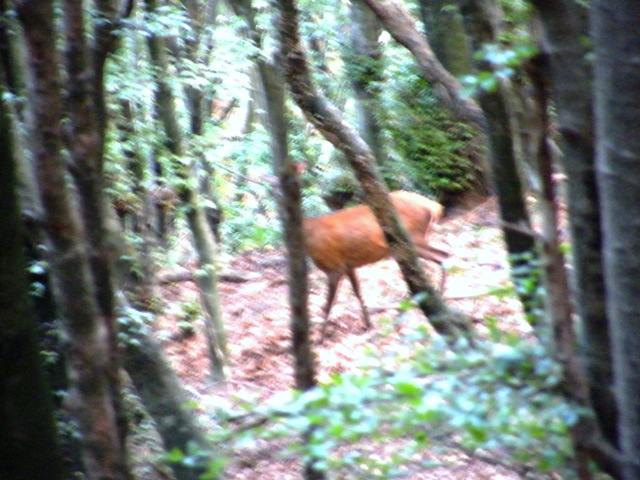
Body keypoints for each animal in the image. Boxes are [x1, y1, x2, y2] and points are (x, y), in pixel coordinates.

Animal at [302, 189, 448, 336]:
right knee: (443, 256)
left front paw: (320, 336)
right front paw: (368, 324)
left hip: (414, 240)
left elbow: (328, 304)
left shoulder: (334, 267)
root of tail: (434, 206)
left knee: (443, 256)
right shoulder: (349, 266)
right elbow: (357, 292)